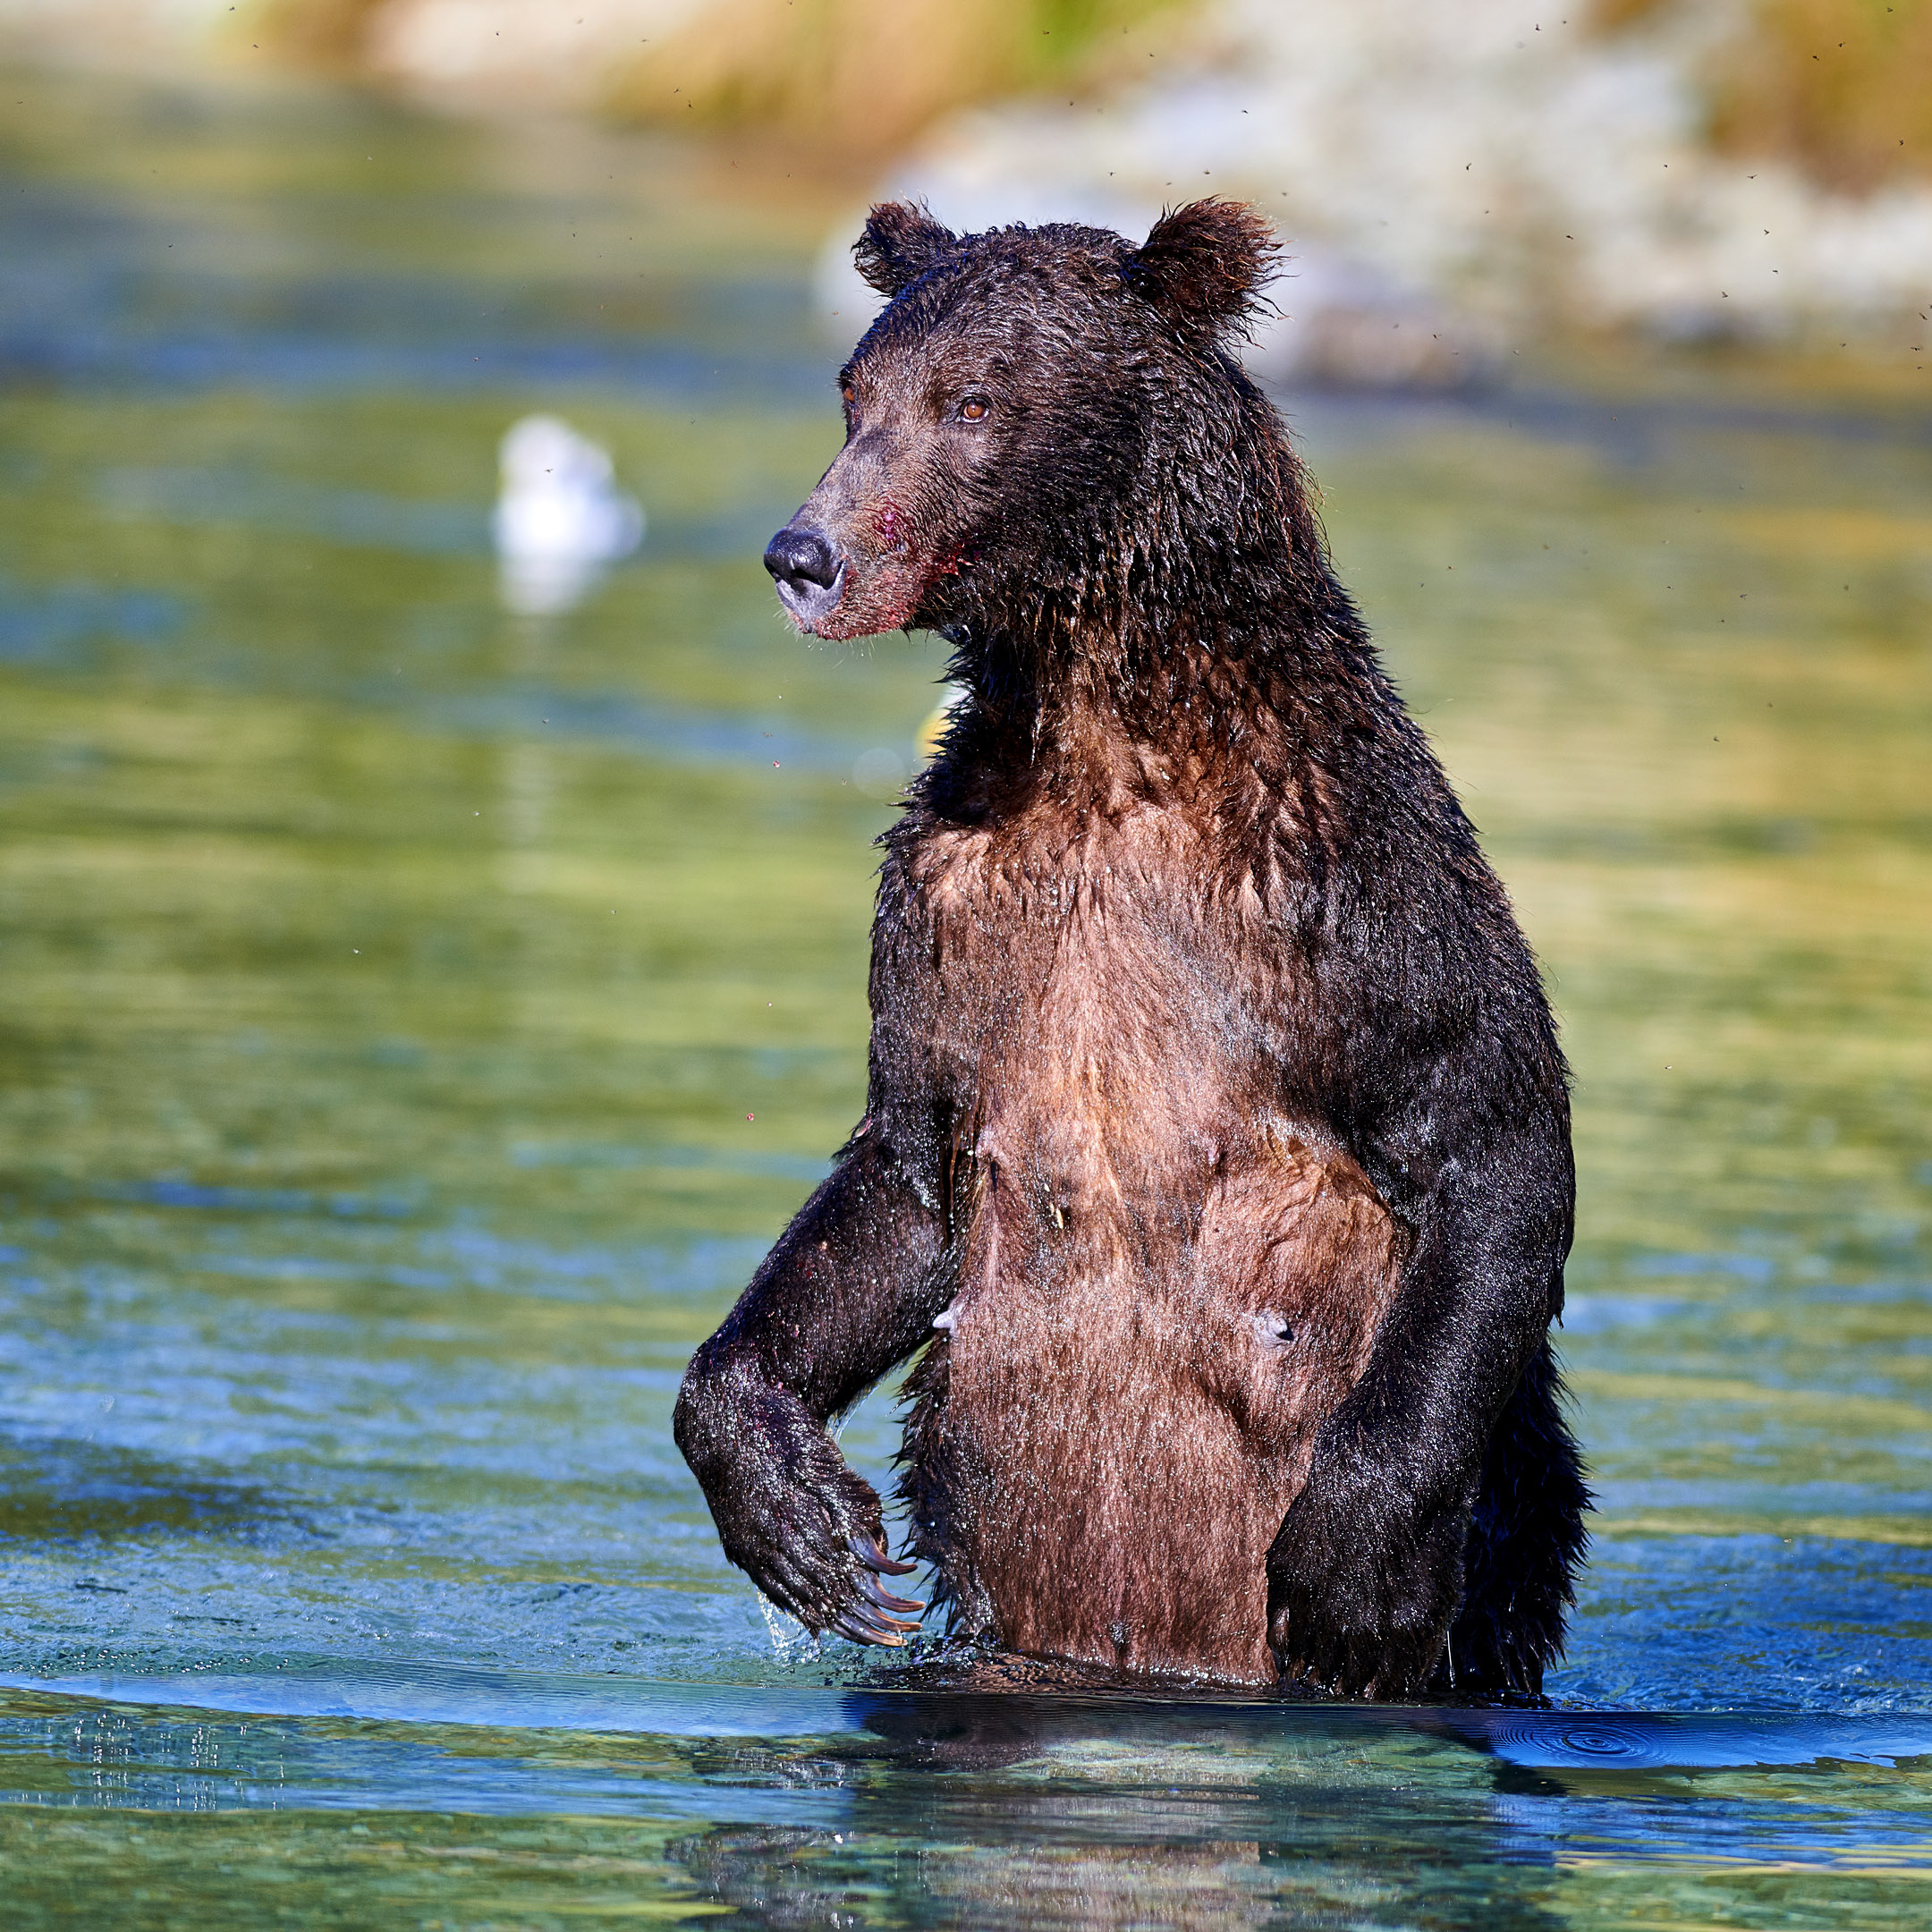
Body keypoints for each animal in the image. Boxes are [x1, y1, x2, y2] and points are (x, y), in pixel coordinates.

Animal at [676, 203, 1584, 1699]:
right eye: (857, 395)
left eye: (973, 402)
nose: (803, 552)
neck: (1106, 718)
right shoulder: (951, 909)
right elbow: (902, 1179)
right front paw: (808, 1529)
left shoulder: (1346, 883)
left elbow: (1491, 1132)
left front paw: (1353, 1571)